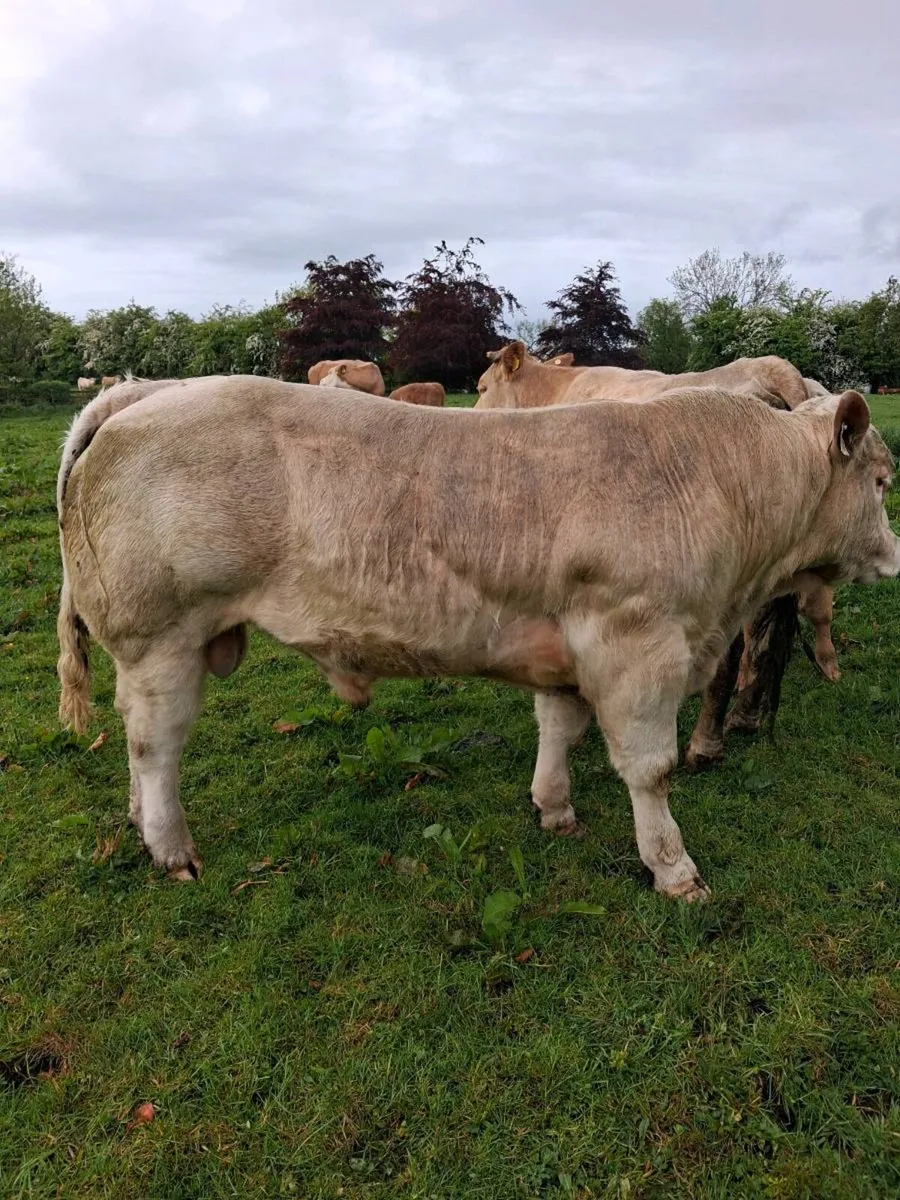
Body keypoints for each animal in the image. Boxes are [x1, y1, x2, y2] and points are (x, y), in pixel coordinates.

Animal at [57, 376, 898, 900]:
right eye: (884, 481)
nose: (894, 554)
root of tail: (145, 393)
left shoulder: (569, 648)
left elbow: (559, 729)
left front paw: (554, 809)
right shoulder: (639, 644)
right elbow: (649, 770)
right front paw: (673, 868)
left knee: (137, 737)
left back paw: (140, 826)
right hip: (161, 634)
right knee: (158, 746)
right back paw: (172, 847)